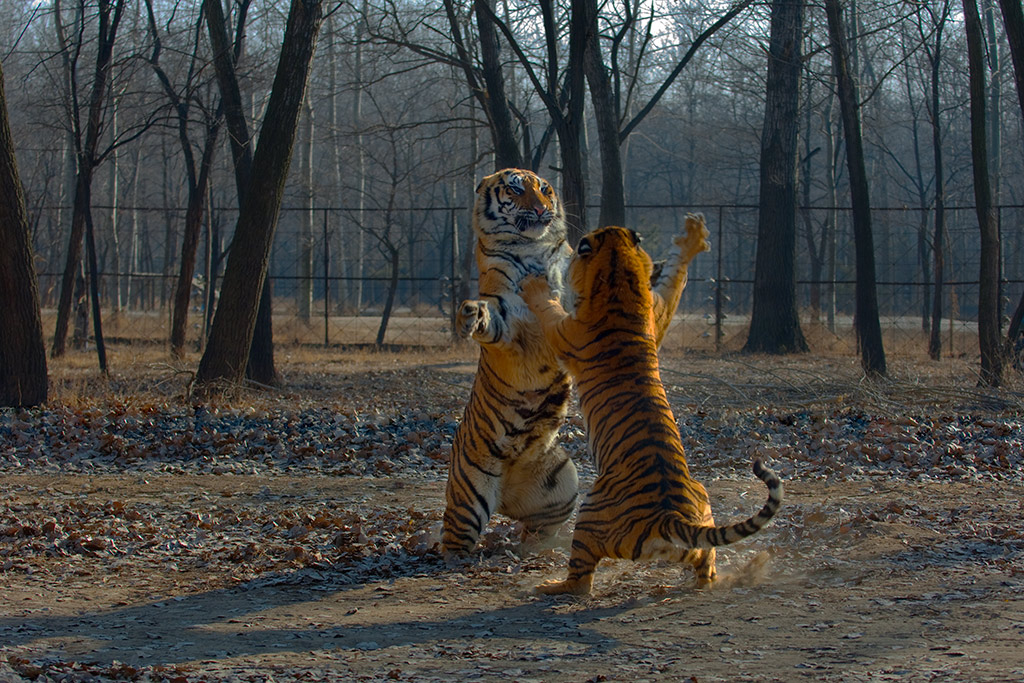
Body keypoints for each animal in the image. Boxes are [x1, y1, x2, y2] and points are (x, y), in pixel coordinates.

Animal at [440, 166, 712, 561]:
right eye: (515, 190)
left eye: (544, 189)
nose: (542, 210)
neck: (533, 247)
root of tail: (504, 492)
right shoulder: (512, 326)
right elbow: (495, 318)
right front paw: (470, 315)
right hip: (467, 499)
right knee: (452, 543)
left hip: (563, 483)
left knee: (533, 528)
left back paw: (537, 547)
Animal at [524, 227, 778, 593]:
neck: (619, 277)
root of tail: (668, 517)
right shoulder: (658, 312)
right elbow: (674, 284)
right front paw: (690, 242)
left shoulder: (564, 331)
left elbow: (547, 307)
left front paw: (534, 285)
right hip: (701, 510)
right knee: (706, 558)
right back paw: (713, 578)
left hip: (589, 511)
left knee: (580, 581)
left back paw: (550, 585)